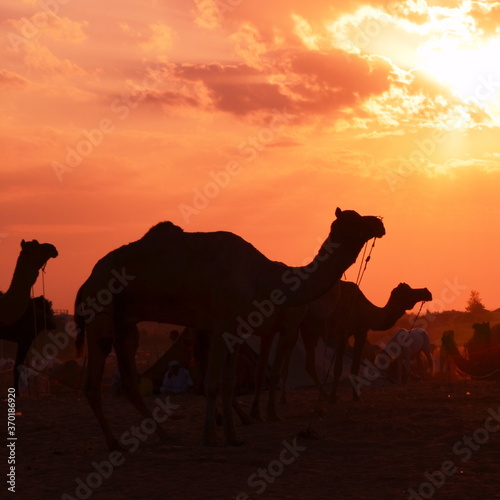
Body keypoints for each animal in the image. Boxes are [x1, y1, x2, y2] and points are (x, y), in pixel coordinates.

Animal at [75, 207, 386, 450]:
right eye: (355, 220)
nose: (380, 222)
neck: (266, 277)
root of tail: (85, 282)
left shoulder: (238, 329)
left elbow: (229, 382)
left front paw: (234, 436)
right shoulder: (222, 324)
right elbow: (212, 382)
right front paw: (210, 436)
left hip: (126, 322)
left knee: (128, 381)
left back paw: (164, 435)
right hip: (100, 311)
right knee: (92, 385)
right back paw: (115, 442)